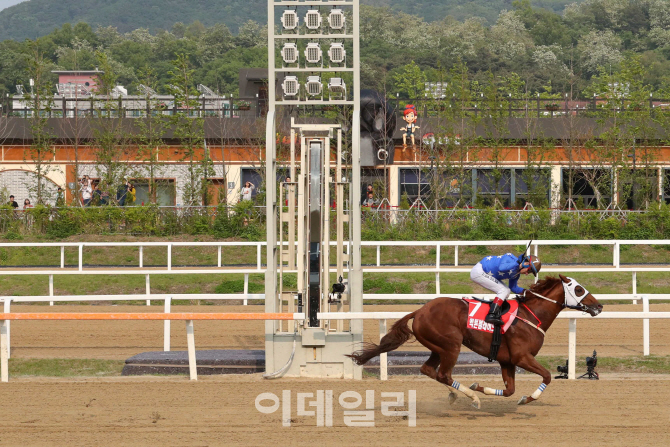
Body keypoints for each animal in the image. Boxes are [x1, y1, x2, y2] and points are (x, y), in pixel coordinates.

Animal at [350, 272, 608, 410]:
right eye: (578, 288)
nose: (599, 306)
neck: (530, 316)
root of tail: (420, 311)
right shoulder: (522, 357)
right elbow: (546, 376)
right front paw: (527, 399)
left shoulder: (507, 361)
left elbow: (510, 390)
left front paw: (479, 386)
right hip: (451, 345)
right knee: (444, 374)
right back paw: (471, 398)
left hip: (438, 347)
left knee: (429, 370)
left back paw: (456, 394)